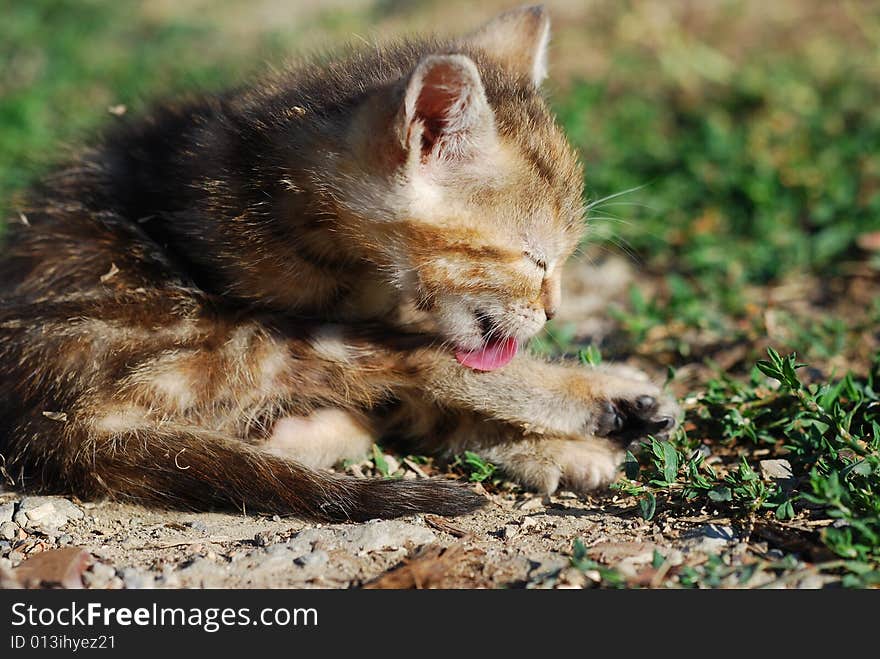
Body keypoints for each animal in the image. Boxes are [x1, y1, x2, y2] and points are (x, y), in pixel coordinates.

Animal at [0, 5, 680, 520]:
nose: (554, 310)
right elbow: (433, 372)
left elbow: (424, 400)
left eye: (561, 260)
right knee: (414, 364)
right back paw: (610, 397)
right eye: (534, 259)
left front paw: (549, 451)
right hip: (215, 331)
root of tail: (44, 416)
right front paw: (572, 427)